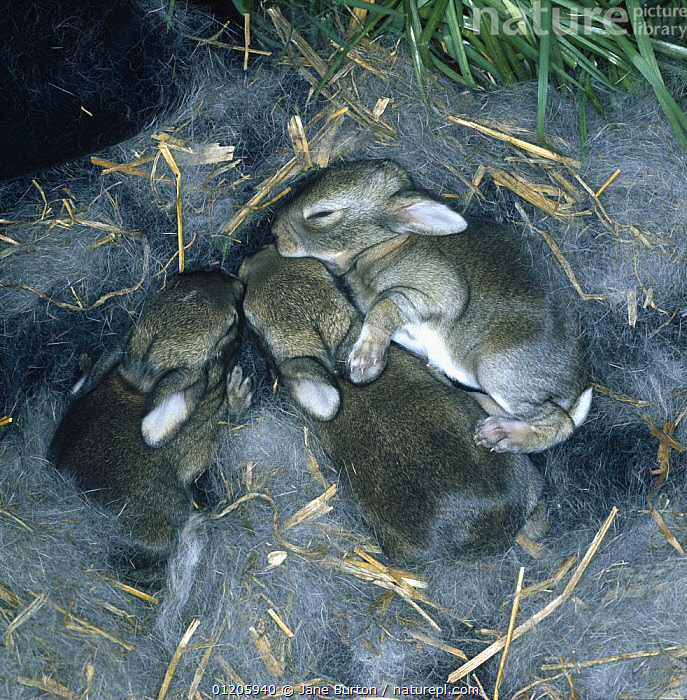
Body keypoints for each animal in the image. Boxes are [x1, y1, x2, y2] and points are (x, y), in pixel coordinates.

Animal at [272, 159, 592, 454]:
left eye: (322, 214)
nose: (274, 233)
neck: (380, 244)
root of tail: (575, 388)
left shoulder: (438, 291)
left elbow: (386, 306)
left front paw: (365, 358)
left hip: (496, 371)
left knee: (559, 424)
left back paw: (501, 435)